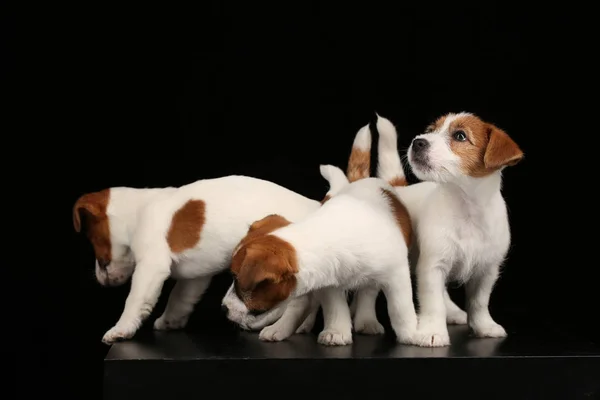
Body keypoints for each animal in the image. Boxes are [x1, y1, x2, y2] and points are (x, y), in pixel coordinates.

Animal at [225, 164, 422, 346]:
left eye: (236, 278)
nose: (223, 308)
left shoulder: (396, 273)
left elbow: (400, 308)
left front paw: (411, 333)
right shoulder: (328, 282)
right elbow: (335, 308)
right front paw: (337, 331)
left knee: (368, 291)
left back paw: (366, 320)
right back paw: (283, 327)